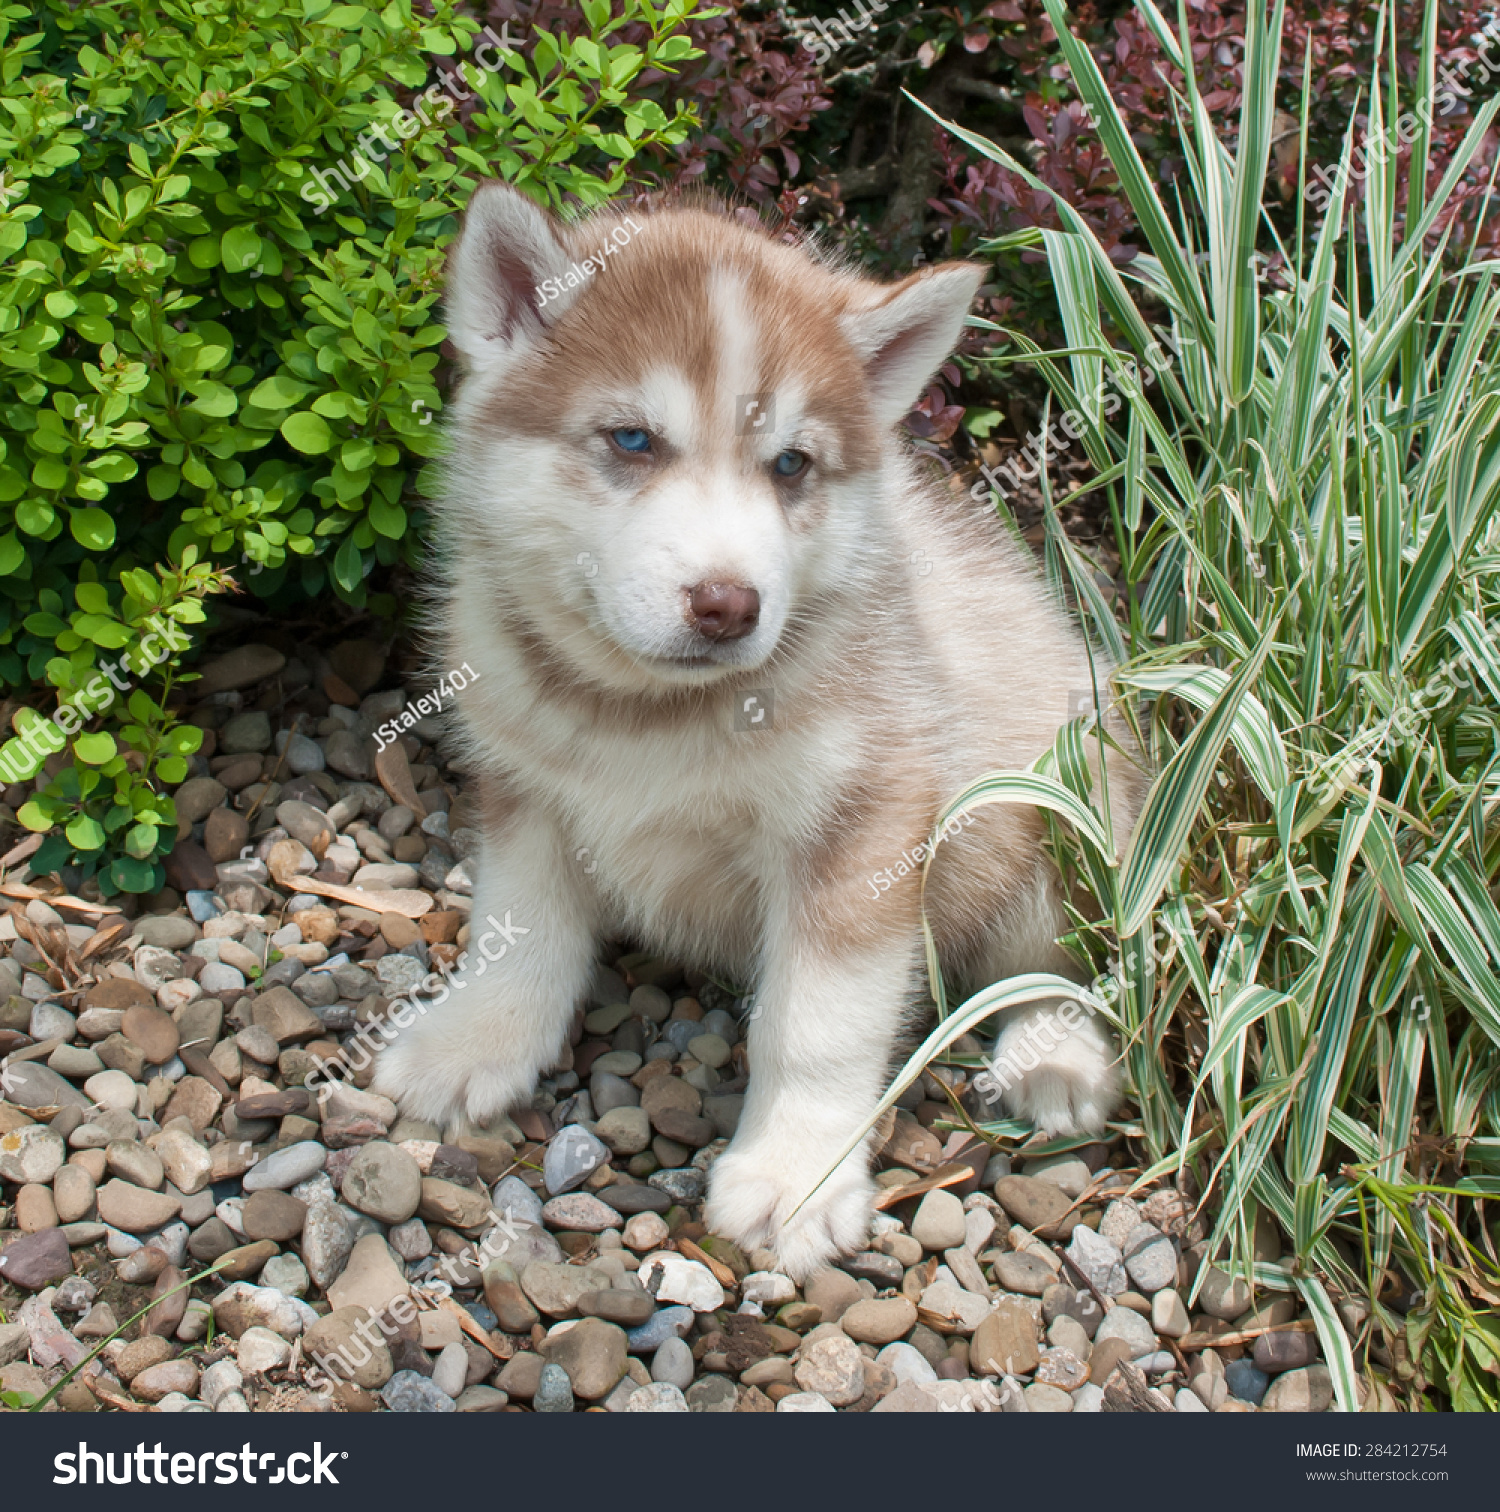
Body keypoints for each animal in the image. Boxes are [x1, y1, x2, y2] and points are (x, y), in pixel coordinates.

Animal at [371, 182, 1137, 1282]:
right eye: (632, 440)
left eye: (791, 465)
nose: (729, 604)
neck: (644, 714)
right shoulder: (524, 786)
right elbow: (517, 932)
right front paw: (476, 1041)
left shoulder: (864, 825)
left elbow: (815, 1024)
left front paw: (793, 1172)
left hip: (1052, 815)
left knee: (1066, 963)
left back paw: (1055, 1055)